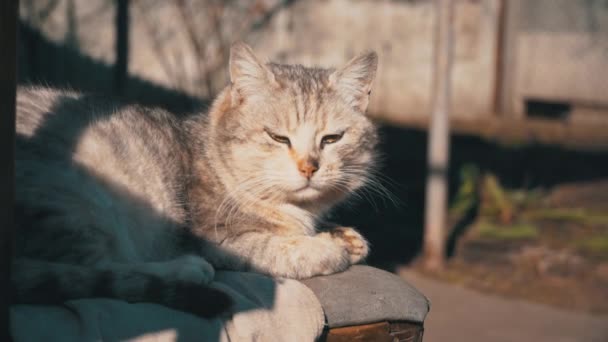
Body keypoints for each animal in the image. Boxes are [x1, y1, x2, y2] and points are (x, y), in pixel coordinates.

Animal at [11, 42, 378, 318]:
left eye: (331, 139)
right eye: (278, 137)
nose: (309, 168)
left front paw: (345, 236)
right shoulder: (219, 238)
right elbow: (281, 248)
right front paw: (328, 246)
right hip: (77, 205)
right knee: (98, 269)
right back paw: (184, 270)